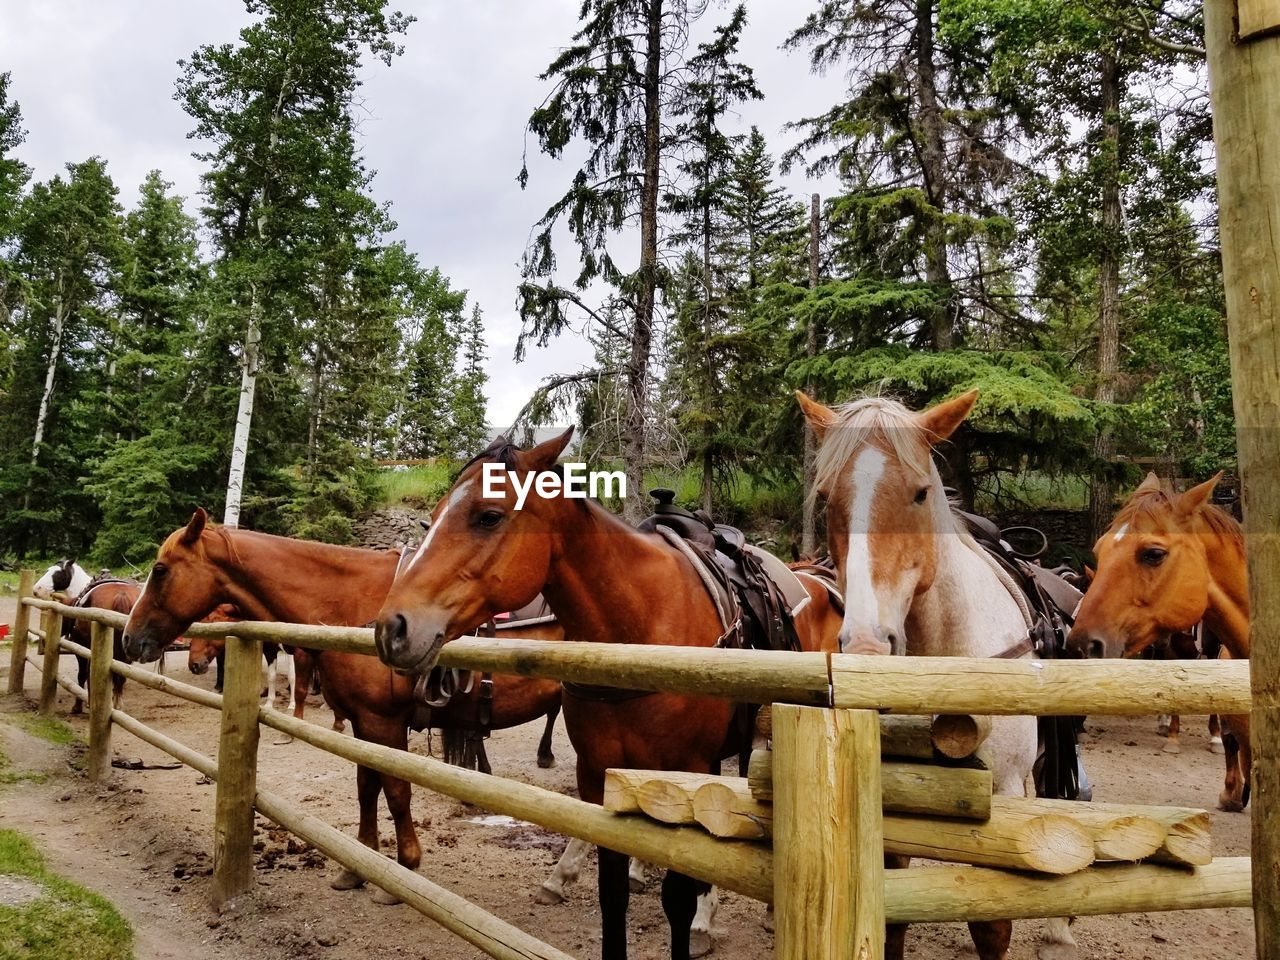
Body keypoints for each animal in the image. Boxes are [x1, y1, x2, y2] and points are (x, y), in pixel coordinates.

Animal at [116, 514, 565, 906]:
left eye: (160, 570)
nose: (129, 638)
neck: (353, 607)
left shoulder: (384, 724)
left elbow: (396, 791)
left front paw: (404, 870)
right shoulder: (363, 725)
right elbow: (366, 786)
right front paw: (358, 867)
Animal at [373, 430, 849, 960]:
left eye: (488, 516)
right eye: (433, 515)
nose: (393, 628)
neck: (638, 628)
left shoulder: (689, 766)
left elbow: (680, 892)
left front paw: (696, 918)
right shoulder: (597, 771)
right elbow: (612, 889)